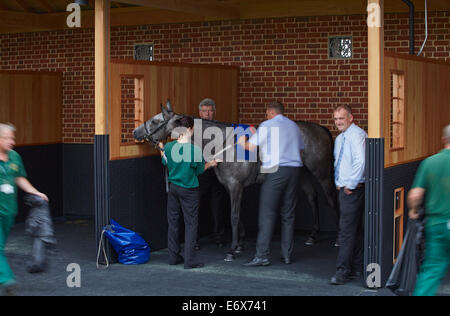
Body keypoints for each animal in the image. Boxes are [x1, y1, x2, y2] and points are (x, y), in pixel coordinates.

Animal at [134, 100, 338, 260]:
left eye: (155, 120)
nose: (136, 132)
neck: (225, 145)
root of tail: (320, 128)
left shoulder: (235, 186)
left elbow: (233, 216)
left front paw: (232, 250)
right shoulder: (231, 187)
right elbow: (238, 216)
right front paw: (239, 245)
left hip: (322, 174)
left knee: (331, 201)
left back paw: (337, 239)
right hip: (304, 174)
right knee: (312, 198)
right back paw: (313, 235)